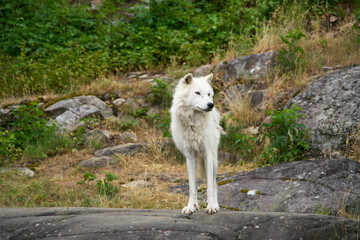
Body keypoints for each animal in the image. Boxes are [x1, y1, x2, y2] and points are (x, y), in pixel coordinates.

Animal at [170, 72, 224, 215]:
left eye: (209, 94)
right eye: (197, 93)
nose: (211, 104)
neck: (193, 123)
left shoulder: (207, 155)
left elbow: (210, 186)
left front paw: (211, 206)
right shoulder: (189, 157)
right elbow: (192, 187)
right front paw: (191, 206)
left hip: (214, 162)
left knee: (215, 184)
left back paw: (215, 204)